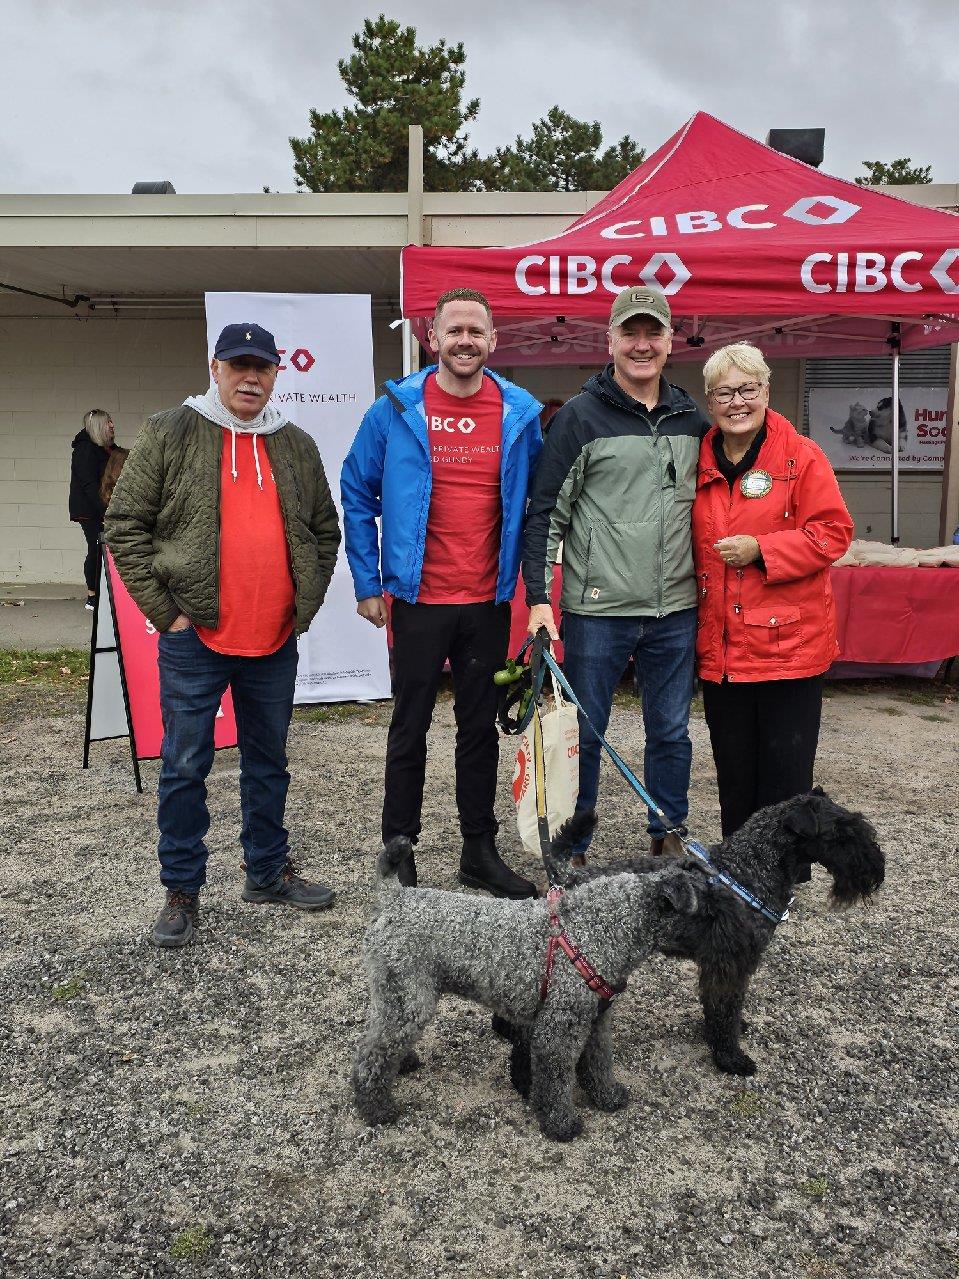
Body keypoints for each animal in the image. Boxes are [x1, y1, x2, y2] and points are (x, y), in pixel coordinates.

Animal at [350, 839, 756, 1140]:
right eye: (711, 912)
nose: (748, 939)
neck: (602, 928)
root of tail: (394, 897)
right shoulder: (560, 1029)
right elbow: (557, 1079)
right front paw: (562, 1124)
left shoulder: (595, 1020)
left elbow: (599, 1062)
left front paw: (608, 1097)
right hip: (409, 1000)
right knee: (370, 1055)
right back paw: (377, 1108)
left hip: (400, 998)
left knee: (382, 1039)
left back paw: (403, 1064)